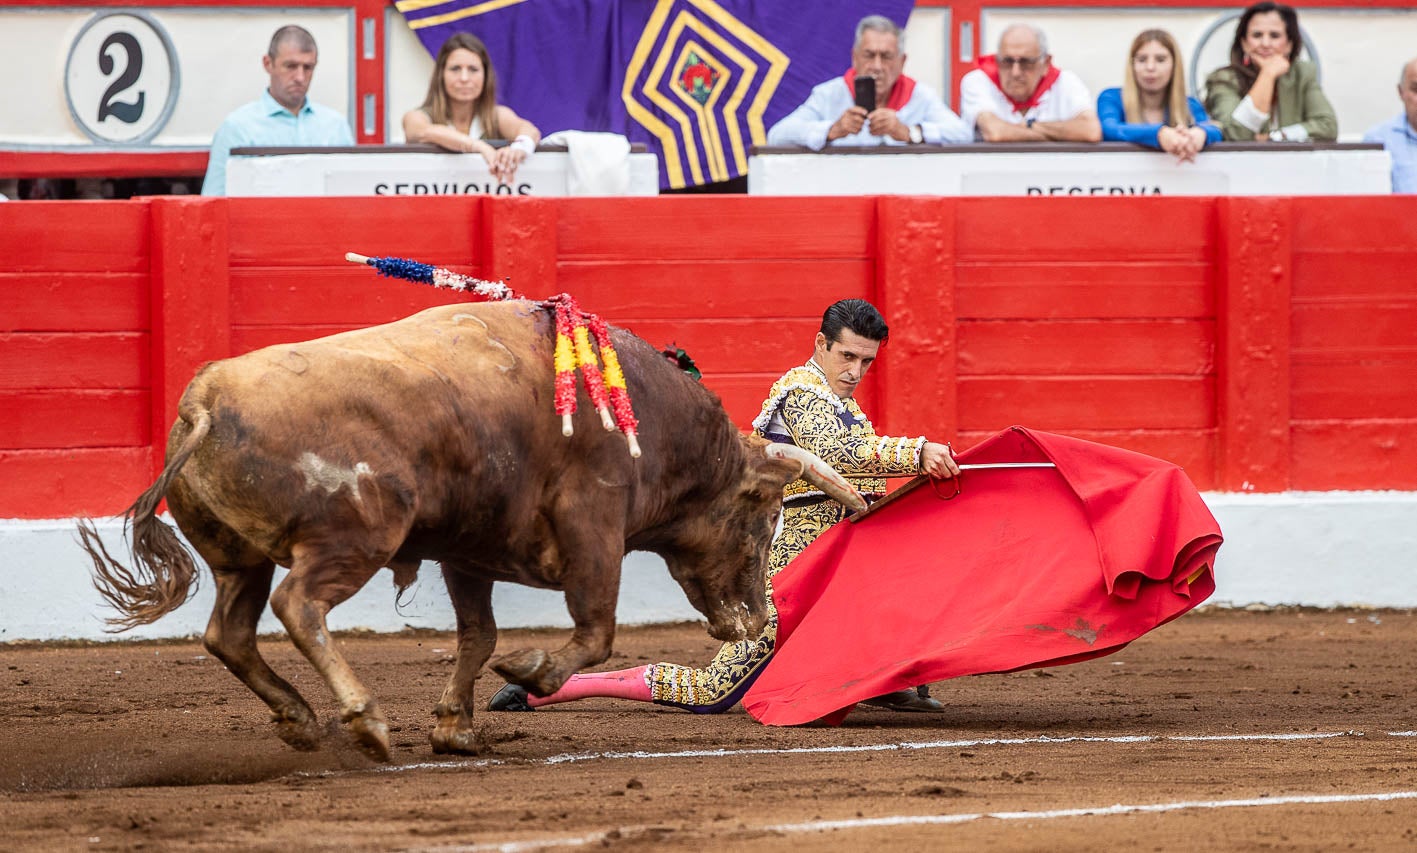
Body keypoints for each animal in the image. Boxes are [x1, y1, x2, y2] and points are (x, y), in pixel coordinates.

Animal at [80, 298, 861, 759]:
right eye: (764, 515)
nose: (756, 618)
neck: (653, 421)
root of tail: (205, 403)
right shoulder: (595, 524)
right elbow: (596, 630)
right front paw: (529, 671)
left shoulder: (468, 552)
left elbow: (476, 635)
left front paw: (455, 727)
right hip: (356, 537)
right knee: (298, 606)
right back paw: (364, 719)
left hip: (239, 558)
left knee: (229, 633)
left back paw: (300, 719)